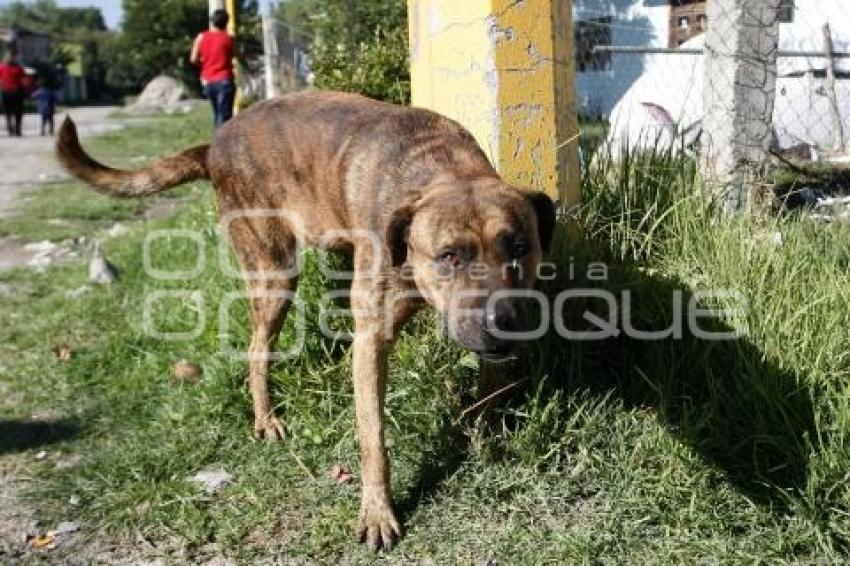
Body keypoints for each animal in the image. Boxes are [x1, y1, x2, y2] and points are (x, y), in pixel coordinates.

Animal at [56, 91, 552, 552]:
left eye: (519, 248)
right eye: (449, 256)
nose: (502, 323)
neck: (441, 169)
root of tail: (216, 143)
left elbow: (488, 390)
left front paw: (482, 433)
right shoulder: (371, 341)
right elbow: (373, 439)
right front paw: (378, 511)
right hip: (273, 274)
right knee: (256, 350)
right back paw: (266, 418)